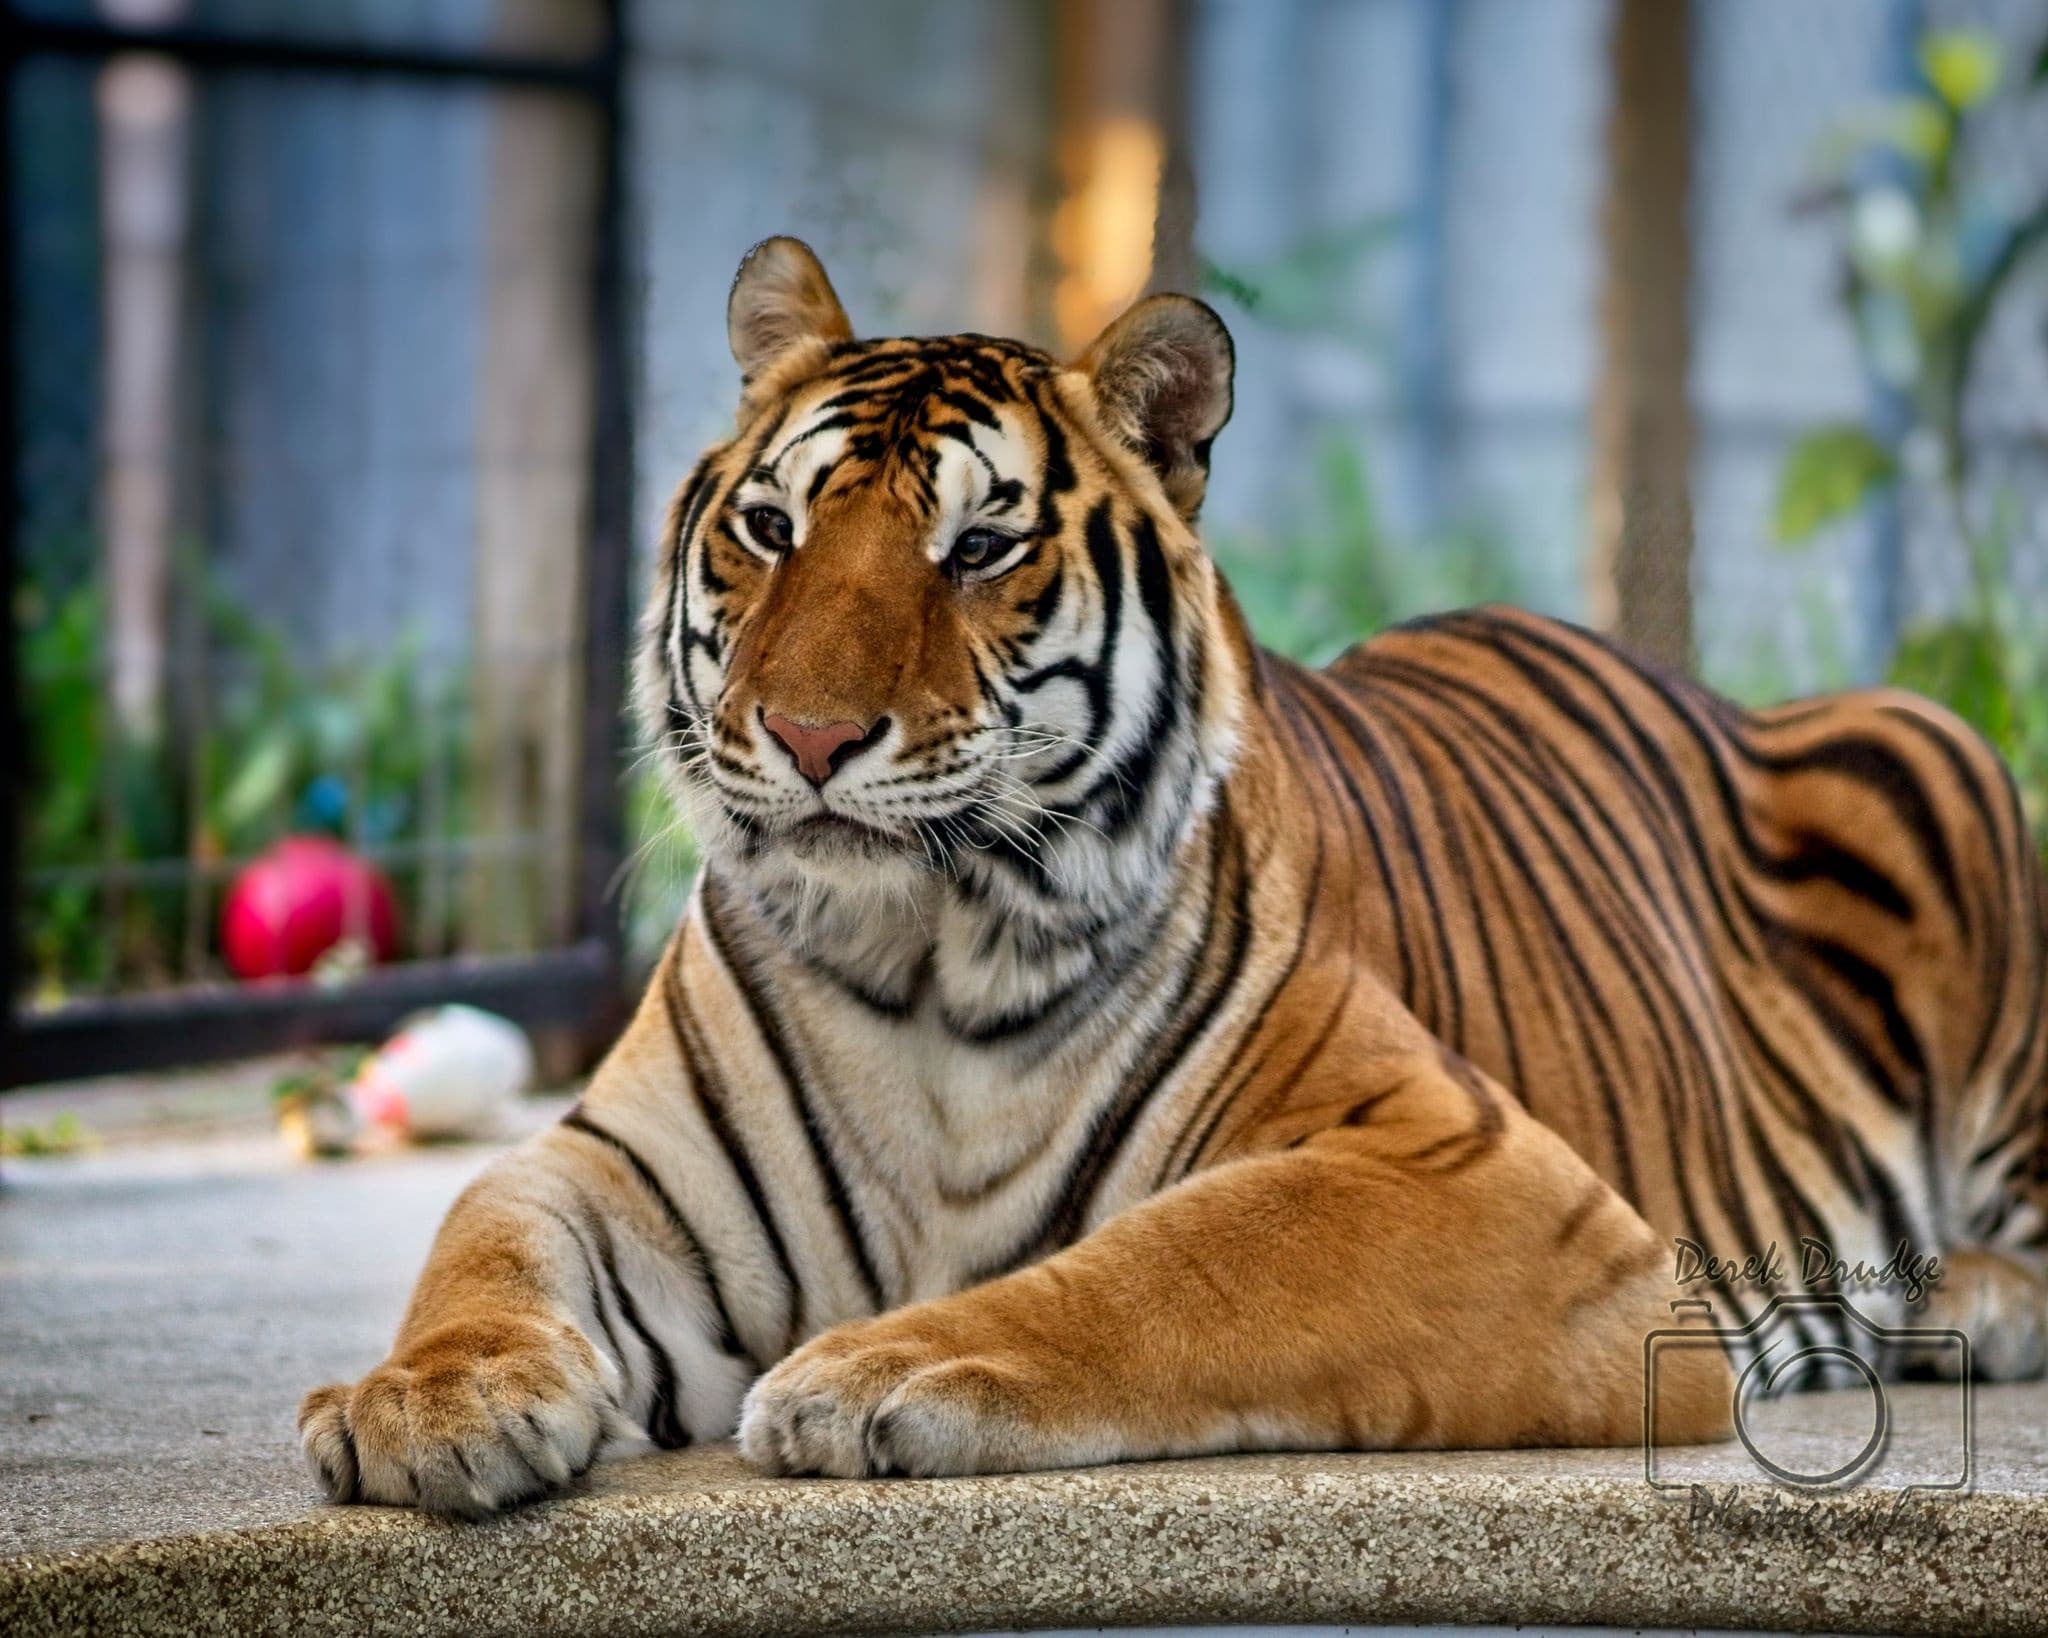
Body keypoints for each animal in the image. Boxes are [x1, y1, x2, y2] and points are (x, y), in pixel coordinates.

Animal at [300, 237, 2048, 1515]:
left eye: (977, 549)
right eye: (773, 526)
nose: (805, 734)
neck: (926, 959)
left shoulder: (1477, 1174)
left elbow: (1170, 1265)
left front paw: (873, 1373)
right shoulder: (620, 1164)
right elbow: (486, 1229)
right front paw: (429, 1403)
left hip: (1941, 751)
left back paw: (1978, 1300)